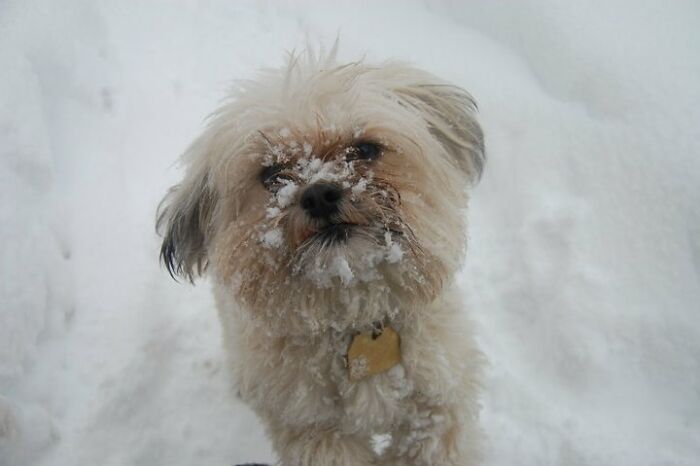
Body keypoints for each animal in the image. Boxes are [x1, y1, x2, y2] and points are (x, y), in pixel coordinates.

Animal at [157, 48, 486, 466]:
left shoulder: (438, 403)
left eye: (365, 148)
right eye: (271, 173)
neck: (353, 312)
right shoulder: (315, 429)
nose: (319, 194)